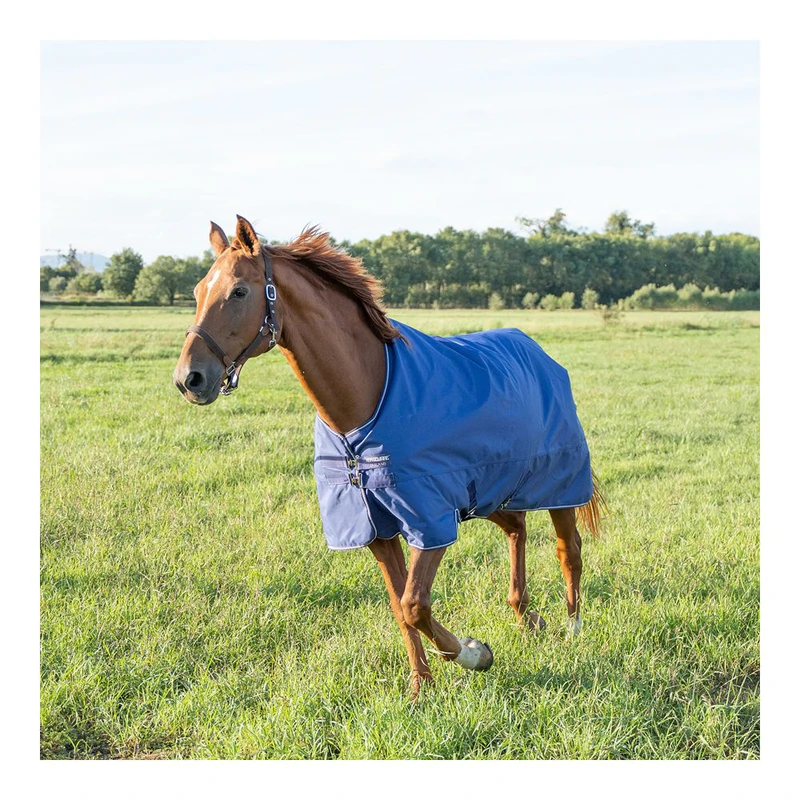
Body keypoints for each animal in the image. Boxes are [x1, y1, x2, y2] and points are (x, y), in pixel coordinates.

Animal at [173, 215, 604, 699]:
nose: (189, 378)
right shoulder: (375, 526)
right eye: (197, 292)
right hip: (488, 492)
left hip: (558, 484)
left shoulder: (429, 521)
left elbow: (416, 604)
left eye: (239, 292)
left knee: (569, 550)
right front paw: (421, 686)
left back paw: (572, 628)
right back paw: (526, 616)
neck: (364, 403)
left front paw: (474, 653)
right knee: (517, 529)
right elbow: (401, 607)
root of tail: (539, 352)